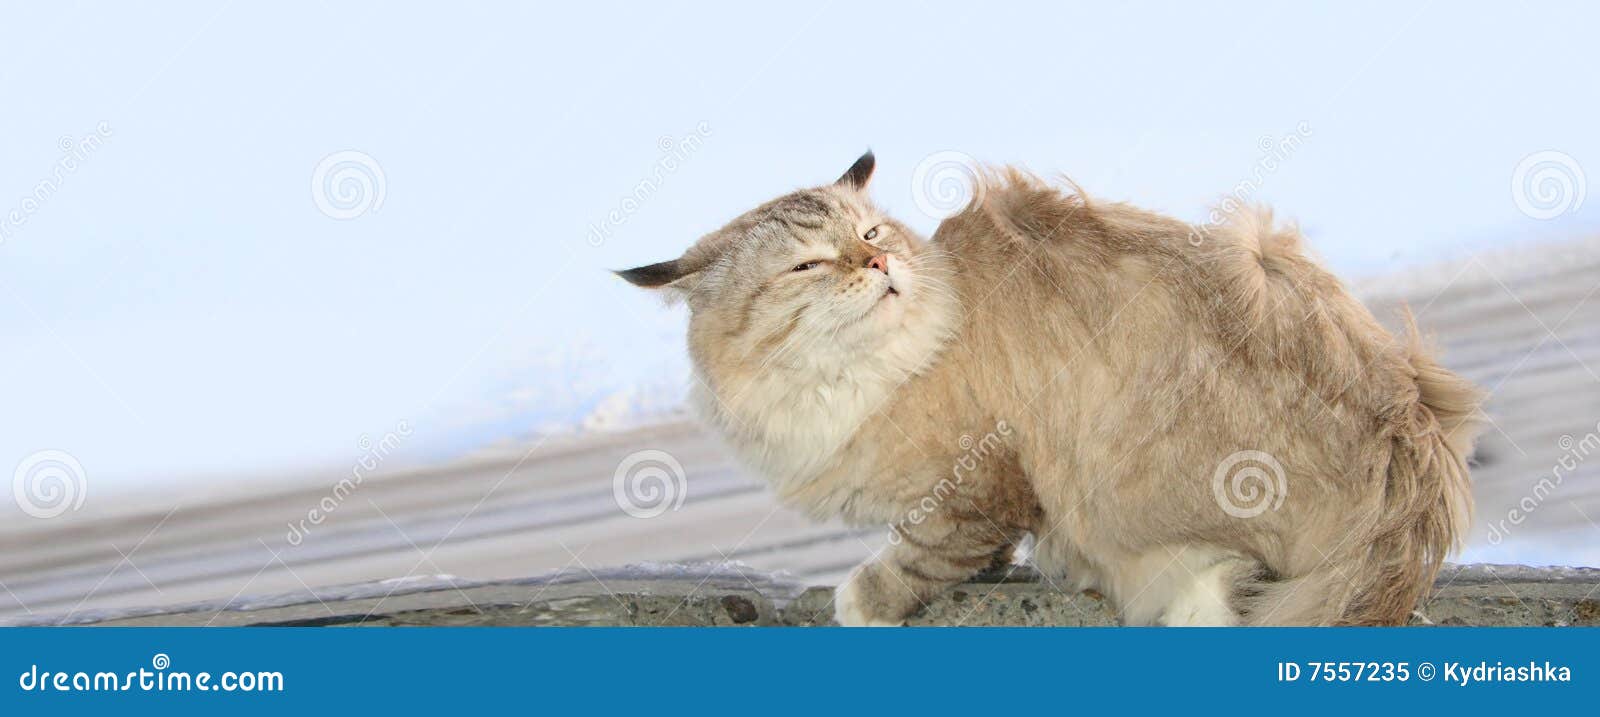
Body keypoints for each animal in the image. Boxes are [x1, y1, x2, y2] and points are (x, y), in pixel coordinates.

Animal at [618, 151, 1481, 626]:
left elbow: (922, 555)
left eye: (869, 235)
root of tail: (1412, 432)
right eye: (808, 264)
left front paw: (863, 601)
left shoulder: (976, 480)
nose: (880, 264)